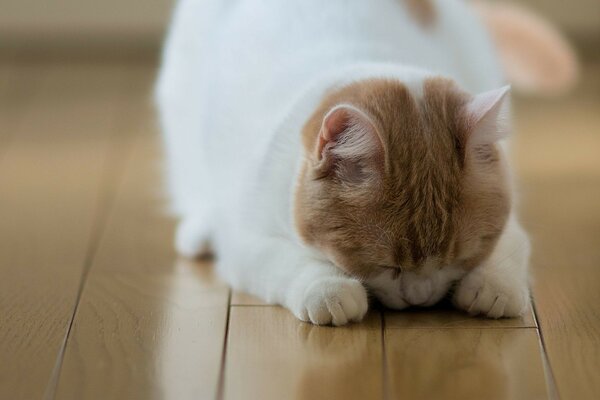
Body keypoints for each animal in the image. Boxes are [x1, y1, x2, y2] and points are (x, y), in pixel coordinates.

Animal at [155, 0, 528, 324]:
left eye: (460, 257)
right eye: (386, 265)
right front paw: (328, 288)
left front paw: (494, 285)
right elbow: (287, 261)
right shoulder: (244, 241)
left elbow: (511, 245)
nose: (420, 298)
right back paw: (200, 230)